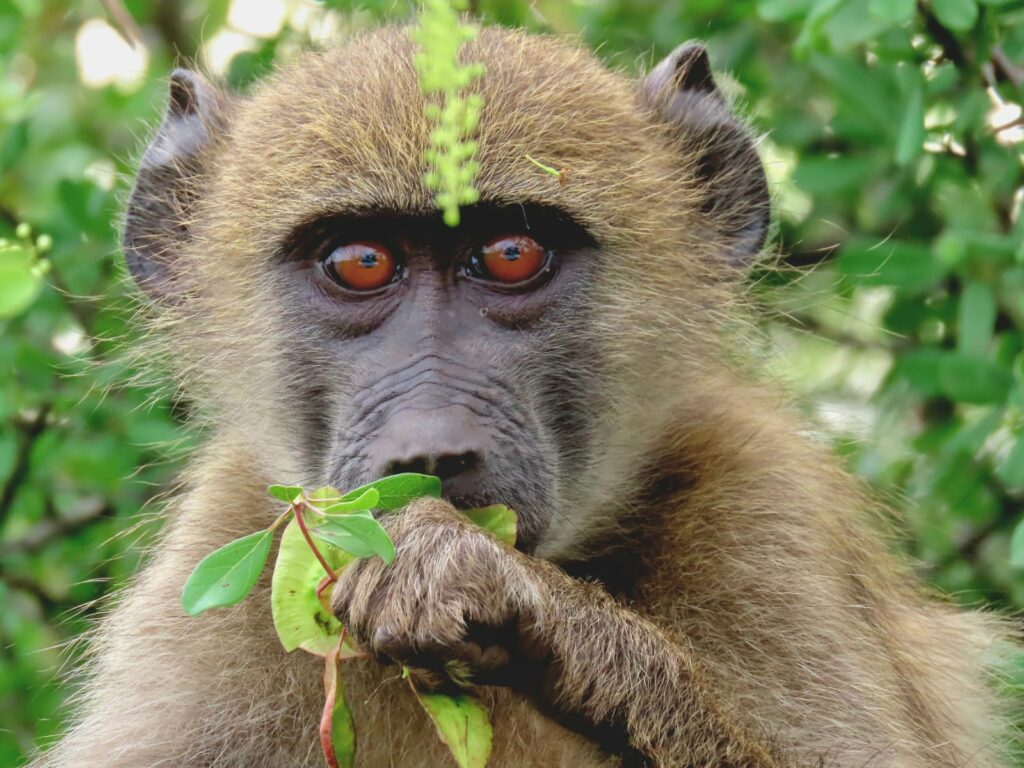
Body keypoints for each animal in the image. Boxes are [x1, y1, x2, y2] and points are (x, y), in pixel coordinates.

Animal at [30, 24, 1013, 768]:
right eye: (361, 263)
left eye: (510, 255)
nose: (430, 449)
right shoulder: (228, 547)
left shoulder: (762, 503)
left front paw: (511, 598)